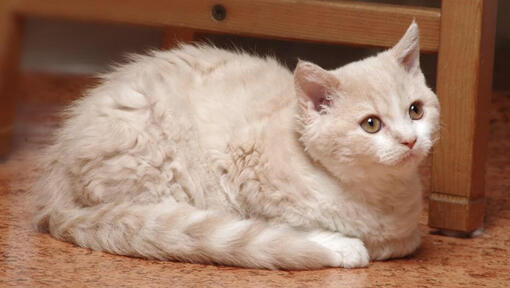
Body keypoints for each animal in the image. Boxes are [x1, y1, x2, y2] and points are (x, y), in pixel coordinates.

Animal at [31, 23, 438, 270]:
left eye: (415, 110)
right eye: (371, 124)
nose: (410, 139)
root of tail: (54, 193)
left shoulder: (406, 231)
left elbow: (406, 240)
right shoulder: (242, 168)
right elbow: (275, 226)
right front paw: (339, 244)